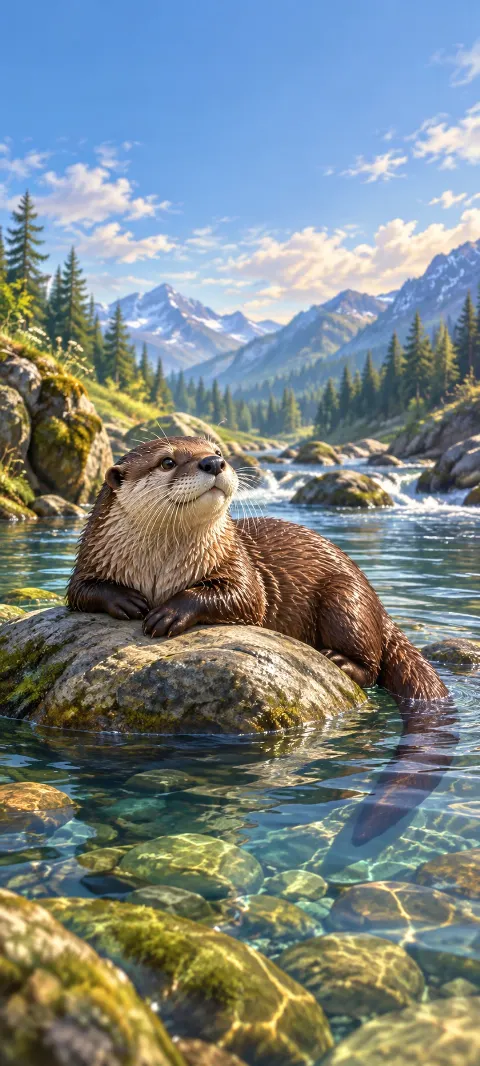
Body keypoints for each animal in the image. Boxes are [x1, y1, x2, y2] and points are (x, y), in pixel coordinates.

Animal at [68, 435, 452, 843]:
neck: (160, 572)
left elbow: (243, 597)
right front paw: (125, 600)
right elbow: (80, 591)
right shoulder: (91, 558)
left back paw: (339, 660)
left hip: (346, 600)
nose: (213, 463)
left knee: (372, 662)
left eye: (216, 449)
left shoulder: (240, 567)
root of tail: (379, 606)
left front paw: (169, 613)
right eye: (167, 461)